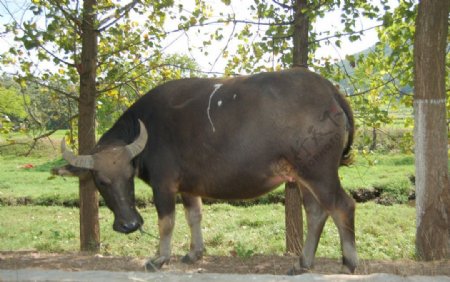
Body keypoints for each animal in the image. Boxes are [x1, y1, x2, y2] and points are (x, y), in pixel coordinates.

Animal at [51, 67, 356, 274]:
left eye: (128, 177)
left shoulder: (164, 185)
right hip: (302, 177)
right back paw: (303, 263)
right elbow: (193, 216)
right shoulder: (188, 186)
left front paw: (159, 258)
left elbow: (167, 222)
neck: (150, 129)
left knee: (342, 206)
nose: (130, 225)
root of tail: (330, 91)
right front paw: (194, 253)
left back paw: (349, 262)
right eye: (100, 181)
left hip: (319, 173)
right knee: (316, 213)